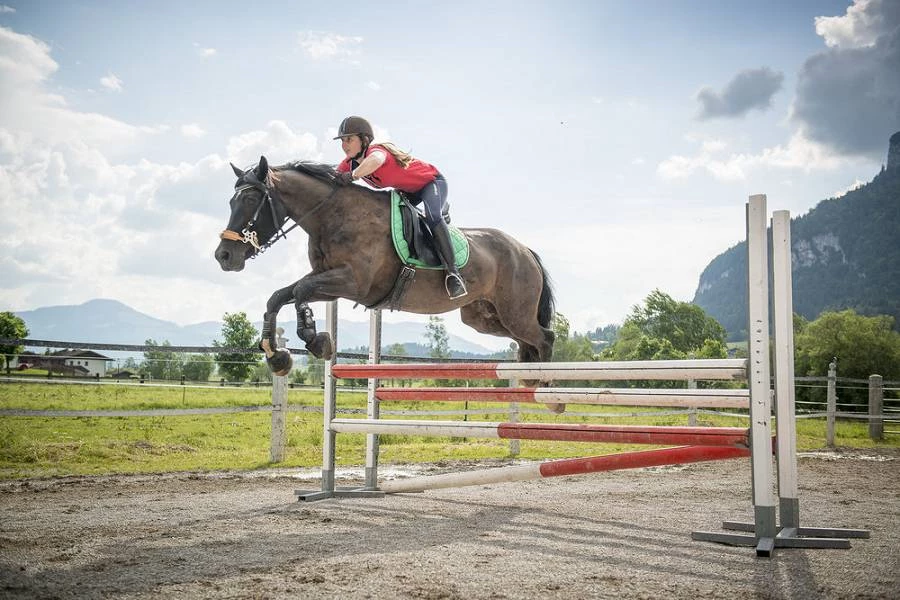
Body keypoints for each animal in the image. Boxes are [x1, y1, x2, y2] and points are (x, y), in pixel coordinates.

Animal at [216, 157, 556, 378]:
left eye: (250, 201)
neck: (333, 215)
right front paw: (276, 356)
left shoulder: (353, 283)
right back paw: (530, 379)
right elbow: (278, 296)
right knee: (526, 342)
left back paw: (549, 390)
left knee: (545, 338)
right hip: (484, 318)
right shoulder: (329, 283)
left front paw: (315, 339)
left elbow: (300, 290)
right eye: (230, 202)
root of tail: (524, 250)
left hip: (514, 313)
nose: (224, 256)